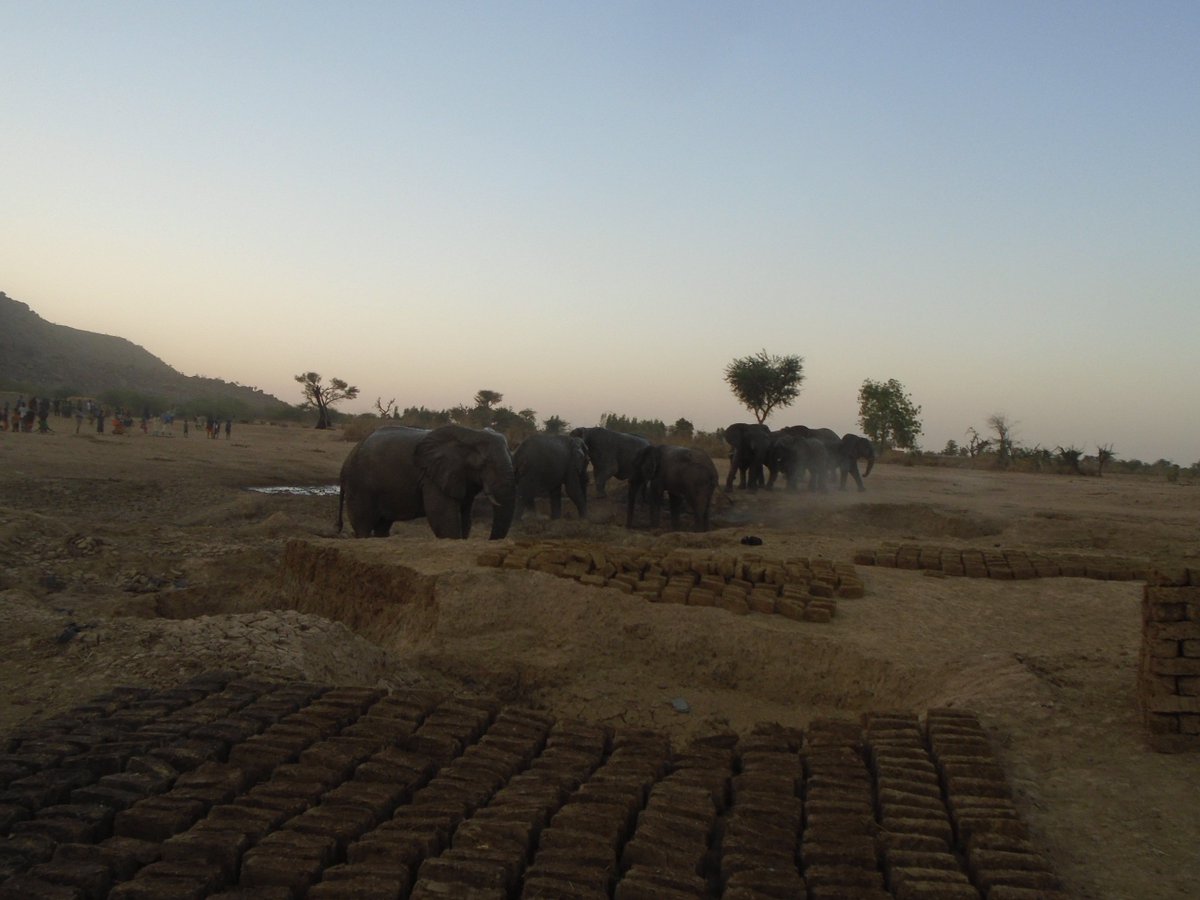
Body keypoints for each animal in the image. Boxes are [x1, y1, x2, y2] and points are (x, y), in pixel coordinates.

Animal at [337, 424, 516, 539]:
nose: (490, 540)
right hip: (360, 485)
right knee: (363, 525)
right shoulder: (431, 477)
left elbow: (465, 517)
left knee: (383, 525)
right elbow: (442, 517)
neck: (470, 434)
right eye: (484, 463)